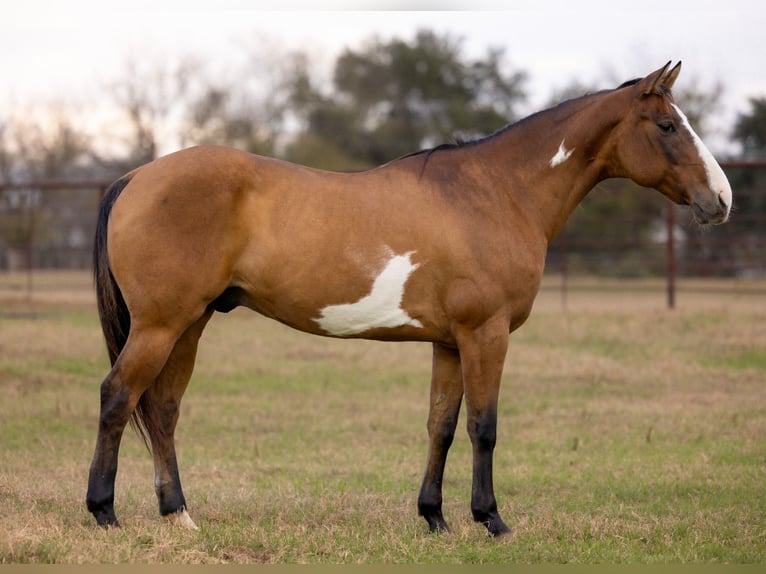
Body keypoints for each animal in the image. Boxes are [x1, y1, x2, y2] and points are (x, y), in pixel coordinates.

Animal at [86, 62, 732, 538]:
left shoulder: (449, 342)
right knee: (119, 396)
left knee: (163, 409)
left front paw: (435, 519)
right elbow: (484, 425)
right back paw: (104, 512)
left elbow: (440, 426)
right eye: (668, 126)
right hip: (161, 324)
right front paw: (491, 520)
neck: (498, 192)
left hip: (189, 324)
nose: (721, 200)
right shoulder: (485, 333)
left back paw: (179, 515)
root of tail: (136, 177)